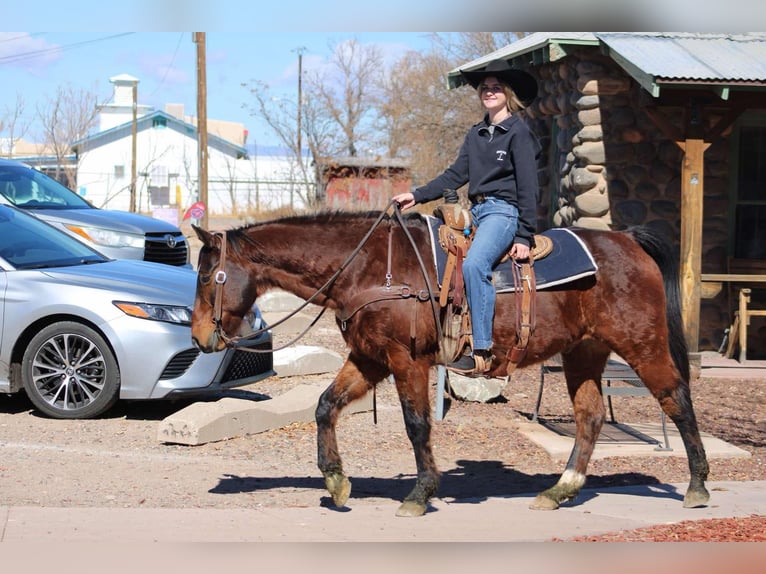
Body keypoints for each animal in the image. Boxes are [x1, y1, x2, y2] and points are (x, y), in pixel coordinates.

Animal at [190, 207, 710, 518]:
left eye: (210, 276)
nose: (198, 336)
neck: (368, 267)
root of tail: (628, 241)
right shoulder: (370, 358)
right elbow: (325, 406)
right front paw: (336, 481)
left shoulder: (407, 360)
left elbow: (417, 424)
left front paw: (421, 493)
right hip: (584, 352)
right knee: (590, 417)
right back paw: (560, 490)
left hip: (642, 345)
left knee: (678, 401)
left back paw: (698, 487)